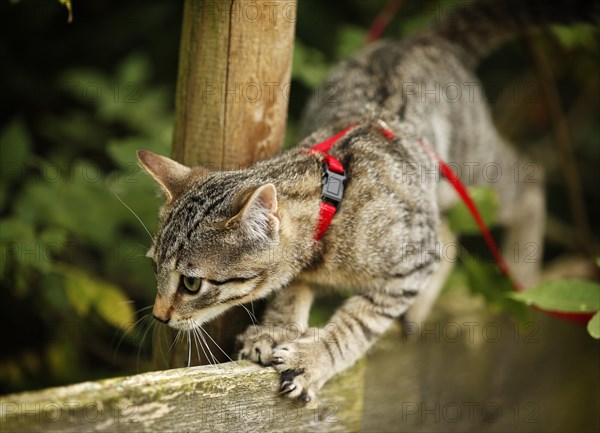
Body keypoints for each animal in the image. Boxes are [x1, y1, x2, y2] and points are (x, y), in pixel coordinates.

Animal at [137, 0, 600, 400]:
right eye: (155, 267)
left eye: (192, 284)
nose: (159, 315)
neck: (333, 202)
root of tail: (415, 40)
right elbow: (291, 289)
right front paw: (278, 329)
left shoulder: (413, 255)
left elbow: (361, 319)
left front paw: (315, 356)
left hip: (474, 172)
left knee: (530, 179)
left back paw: (524, 271)